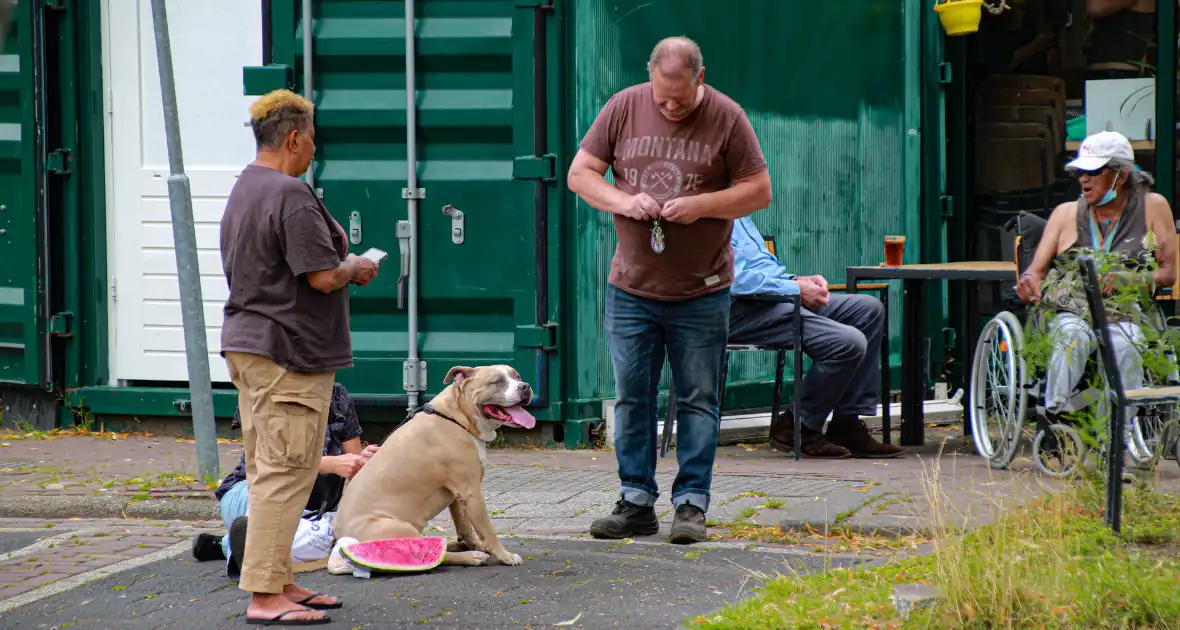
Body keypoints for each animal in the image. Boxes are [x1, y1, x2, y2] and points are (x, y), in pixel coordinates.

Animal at [330, 365, 538, 573]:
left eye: (517, 376)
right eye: (497, 381)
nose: (525, 386)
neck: (457, 415)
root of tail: (342, 545)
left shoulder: (458, 494)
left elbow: (465, 526)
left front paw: (475, 544)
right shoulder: (471, 491)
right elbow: (488, 529)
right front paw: (504, 555)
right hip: (400, 530)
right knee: (431, 557)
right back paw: (471, 556)